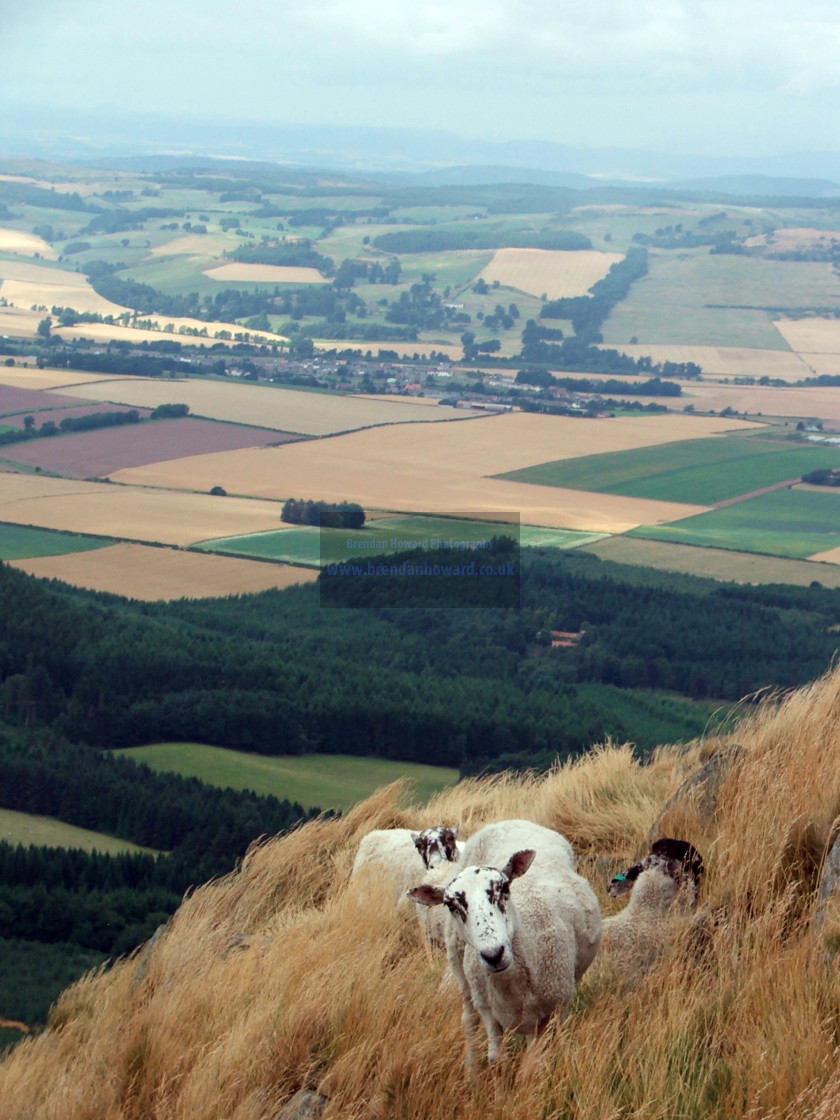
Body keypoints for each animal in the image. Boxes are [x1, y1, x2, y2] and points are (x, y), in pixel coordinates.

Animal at [409, 842, 600, 1066]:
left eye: (504, 888)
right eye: (450, 904)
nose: (493, 955)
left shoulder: (549, 1014)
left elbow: (534, 1062)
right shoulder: (489, 1012)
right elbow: (496, 1058)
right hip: (463, 977)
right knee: (469, 1022)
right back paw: (471, 1069)